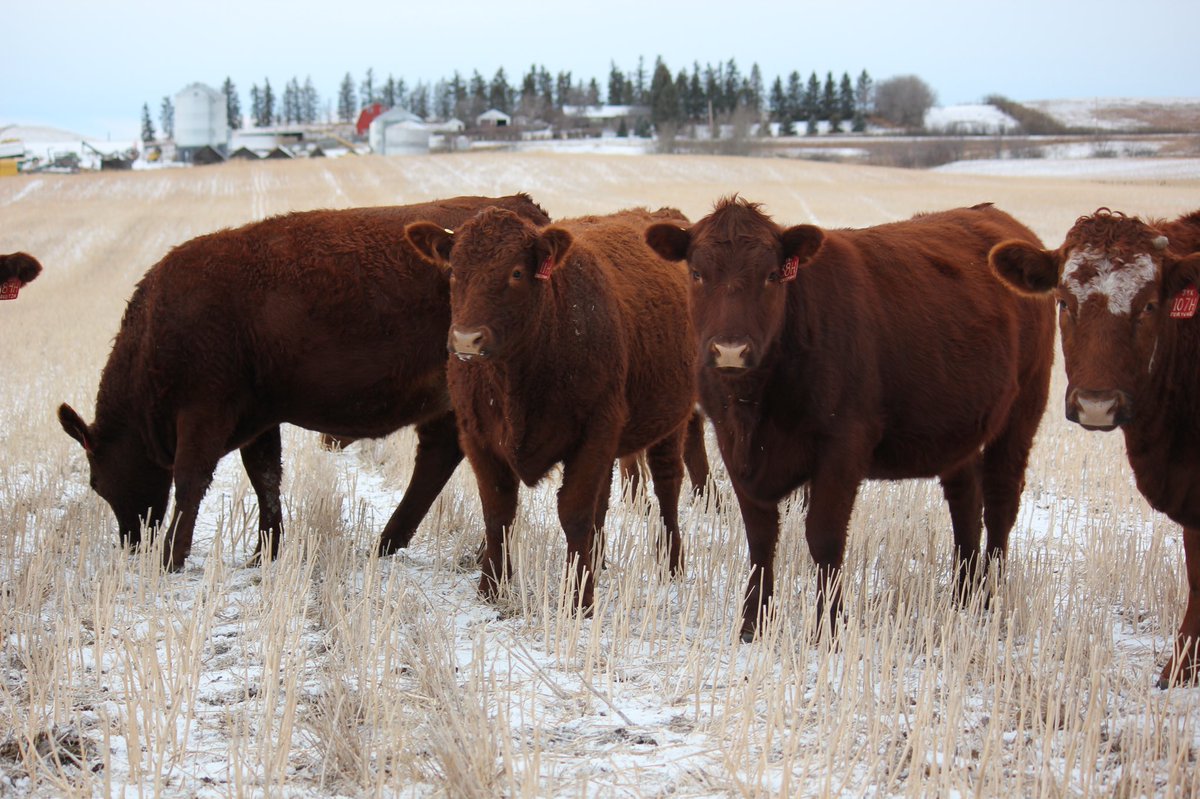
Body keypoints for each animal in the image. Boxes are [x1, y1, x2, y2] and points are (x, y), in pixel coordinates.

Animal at [58, 194, 551, 571]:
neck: (158, 326)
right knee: (441, 456)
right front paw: (265, 552)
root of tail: (523, 208)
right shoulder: (257, 418)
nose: (130, 541)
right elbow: (265, 478)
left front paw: (170, 559)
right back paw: (391, 544)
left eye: (96, 481)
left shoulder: (202, 413)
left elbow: (190, 480)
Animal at [404, 207, 699, 610]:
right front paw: (490, 589)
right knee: (604, 501)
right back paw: (599, 560)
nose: (466, 340)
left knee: (667, 487)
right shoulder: (477, 436)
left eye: (516, 272)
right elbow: (497, 512)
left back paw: (672, 567)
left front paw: (579, 600)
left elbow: (574, 513)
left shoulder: (595, 431)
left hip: (671, 423)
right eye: (453, 271)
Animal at [646, 198, 1055, 642]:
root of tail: (993, 215)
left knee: (1000, 501)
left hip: (1023, 410)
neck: (756, 404)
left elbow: (823, 537)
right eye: (697, 272)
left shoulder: (842, 446)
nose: (731, 350)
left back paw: (989, 597)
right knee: (965, 499)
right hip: (959, 428)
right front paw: (752, 624)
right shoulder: (734, 446)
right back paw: (963, 593)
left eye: (772, 275)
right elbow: (759, 537)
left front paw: (828, 628)